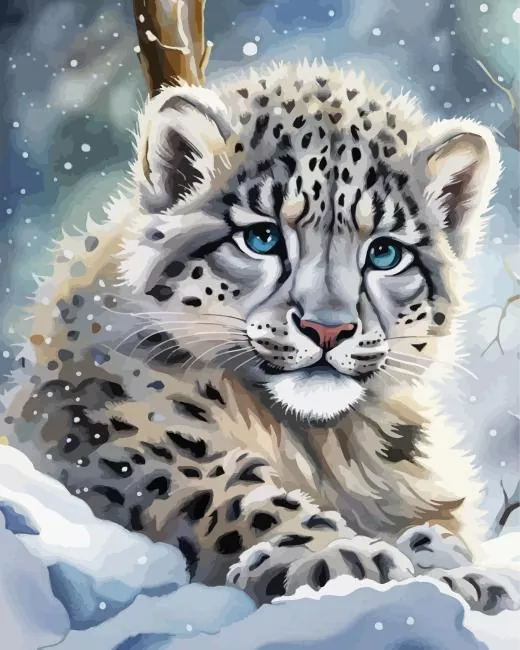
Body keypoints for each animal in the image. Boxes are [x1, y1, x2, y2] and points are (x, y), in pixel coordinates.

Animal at [2, 60, 517, 614]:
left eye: (385, 252)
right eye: (262, 238)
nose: (329, 327)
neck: (326, 446)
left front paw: (461, 573)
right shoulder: (134, 436)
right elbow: (231, 490)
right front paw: (334, 555)